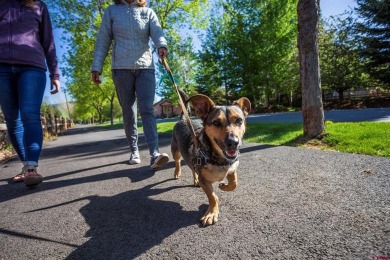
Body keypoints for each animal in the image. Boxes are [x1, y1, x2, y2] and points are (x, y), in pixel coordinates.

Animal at [171, 93, 251, 225]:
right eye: (216, 122)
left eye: (239, 120)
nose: (233, 143)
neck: (219, 160)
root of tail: (183, 119)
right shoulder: (204, 181)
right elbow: (213, 197)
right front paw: (211, 213)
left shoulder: (232, 169)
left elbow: (234, 183)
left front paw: (224, 186)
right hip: (176, 150)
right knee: (177, 162)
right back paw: (177, 172)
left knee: (193, 168)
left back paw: (195, 180)